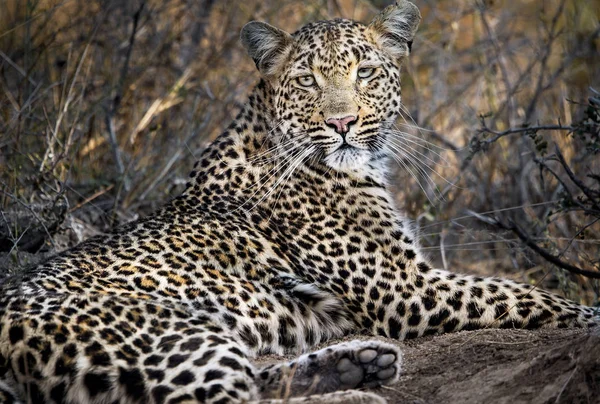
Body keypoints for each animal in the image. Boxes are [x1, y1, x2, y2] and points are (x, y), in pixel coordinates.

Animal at [0, 0, 596, 404]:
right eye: (307, 80)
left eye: (365, 72)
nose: (343, 123)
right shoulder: (406, 288)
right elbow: (527, 296)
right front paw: (591, 314)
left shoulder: (411, 280)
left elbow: (520, 292)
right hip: (169, 334)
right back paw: (356, 386)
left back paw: (360, 363)